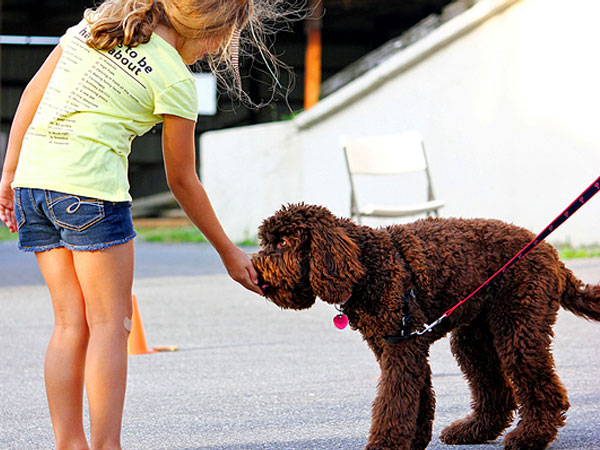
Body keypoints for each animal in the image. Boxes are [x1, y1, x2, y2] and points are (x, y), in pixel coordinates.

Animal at [251, 203, 596, 450]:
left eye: (283, 242)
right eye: (266, 242)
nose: (254, 269)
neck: (365, 263)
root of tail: (552, 254)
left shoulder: (402, 346)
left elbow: (393, 401)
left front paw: (385, 444)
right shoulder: (397, 344)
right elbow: (417, 396)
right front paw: (415, 440)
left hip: (518, 327)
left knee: (543, 387)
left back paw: (531, 436)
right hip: (474, 337)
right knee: (494, 388)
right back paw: (474, 430)